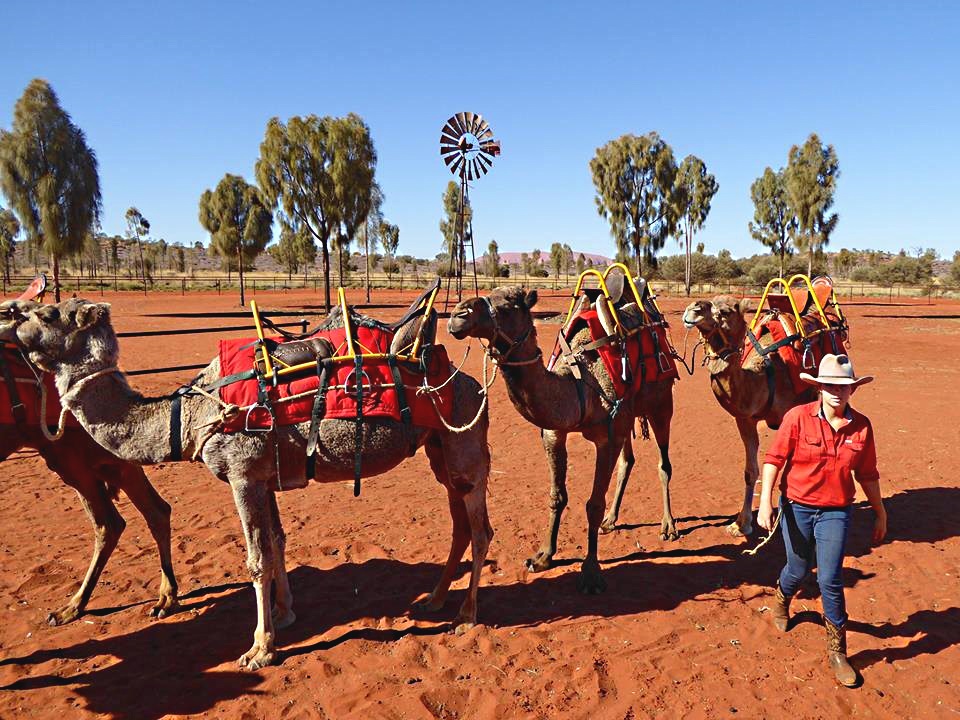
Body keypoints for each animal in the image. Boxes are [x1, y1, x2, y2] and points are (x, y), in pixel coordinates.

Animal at [450, 286, 676, 596]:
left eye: (508, 304)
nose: (456, 316)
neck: (580, 384)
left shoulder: (607, 439)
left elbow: (594, 504)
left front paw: (591, 573)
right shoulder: (555, 433)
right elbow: (557, 496)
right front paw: (543, 556)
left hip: (661, 403)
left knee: (664, 464)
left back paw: (668, 527)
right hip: (628, 415)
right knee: (628, 461)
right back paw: (611, 521)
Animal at [680, 296, 812, 536]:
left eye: (724, 311)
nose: (692, 309)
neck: (765, 377)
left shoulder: (789, 415)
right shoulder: (745, 419)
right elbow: (750, 471)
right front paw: (741, 524)